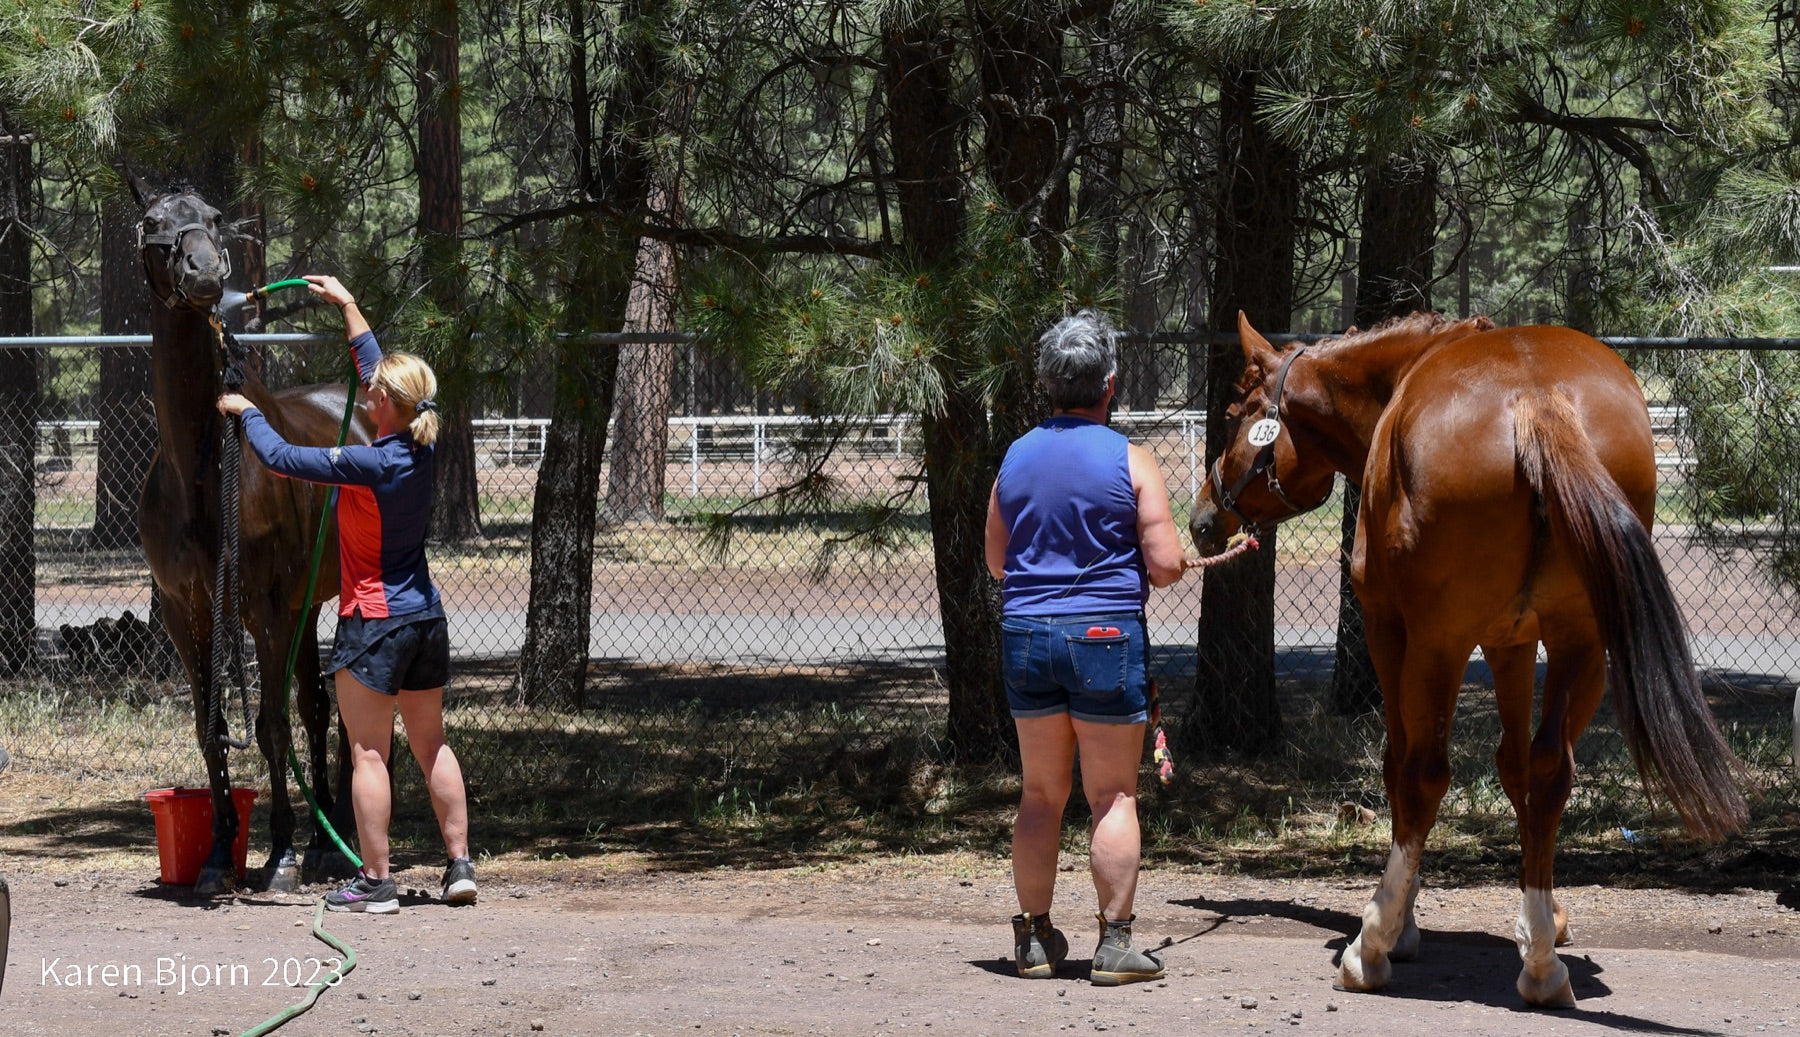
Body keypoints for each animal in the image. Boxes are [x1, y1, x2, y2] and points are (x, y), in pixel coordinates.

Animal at [135, 185, 370, 893]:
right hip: (306, 605)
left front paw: (281, 854)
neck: (202, 473)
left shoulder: (263, 610)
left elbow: (269, 727)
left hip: (313, 602)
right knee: (316, 704)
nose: (206, 273)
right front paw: (216, 854)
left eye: (215, 219)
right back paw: (324, 840)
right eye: (153, 223)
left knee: (321, 711)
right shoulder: (188, 613)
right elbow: (211, 728)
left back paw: (330, 840)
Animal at [1189, 311, 1747, 1007]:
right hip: (1581, 643)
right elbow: (1515, 767)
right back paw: (1541, 965)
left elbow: (1399, 765)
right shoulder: (1513, 641)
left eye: (1235, 413)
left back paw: (1371, 947)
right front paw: (1542, 915)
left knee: (1425, 772)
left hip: (1441, 643)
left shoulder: (1392, 630)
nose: (1202, 517)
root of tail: (1537, 397)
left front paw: (1400, 919)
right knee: (1550, 767)